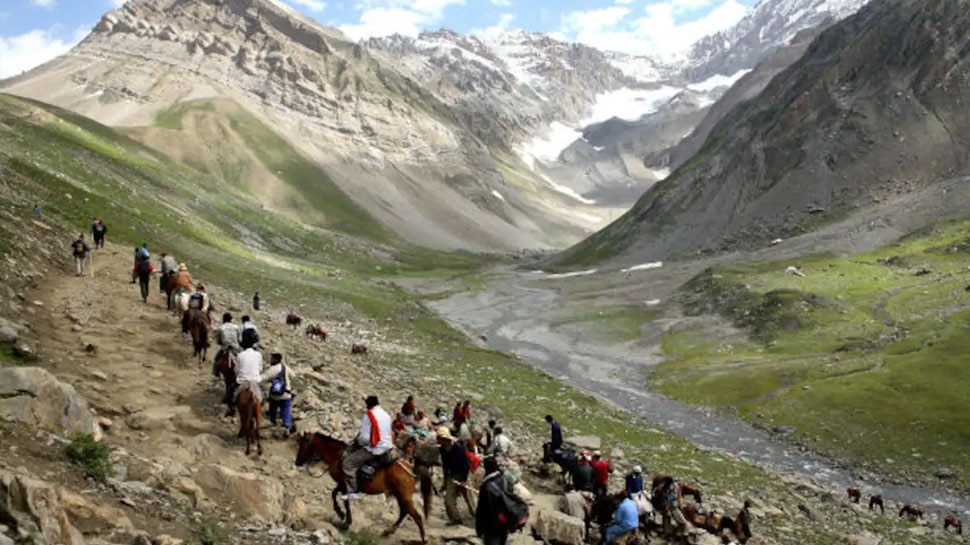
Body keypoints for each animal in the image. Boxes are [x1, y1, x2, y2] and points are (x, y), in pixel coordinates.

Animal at [294, 432, 428, 540]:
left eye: (302, 444)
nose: (297, 462)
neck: (337, 455)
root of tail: (410, 468)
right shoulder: (343, 484)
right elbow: (336, 495)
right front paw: (344, 518)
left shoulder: (344, 484)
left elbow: (340, 498)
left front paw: (343, 518)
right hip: (399, 495)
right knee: (404, 512)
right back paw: (389, 531)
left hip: (403, 496)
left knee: (416, 516)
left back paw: (423, 539)